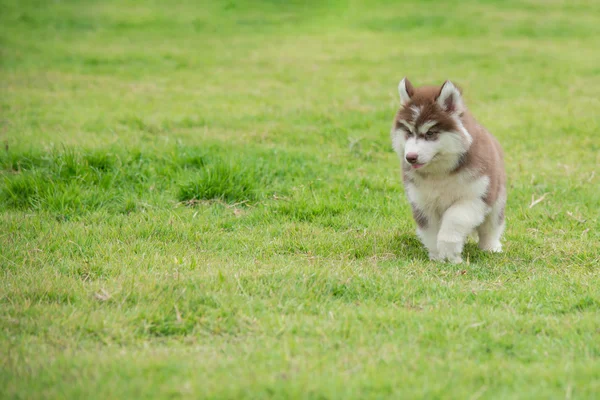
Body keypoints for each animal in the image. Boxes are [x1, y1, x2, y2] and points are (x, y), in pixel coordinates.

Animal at [390, 78, 506, 264]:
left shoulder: (476, 197)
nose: (410, 157)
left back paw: (491, 248)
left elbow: (453, 219)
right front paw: (437, 256)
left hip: (497, 200)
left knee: (491, 228)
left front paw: (450, 253)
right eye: (408, 131)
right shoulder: (422, 203)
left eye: (430, 133)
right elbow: (430, 232)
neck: (440, 174)